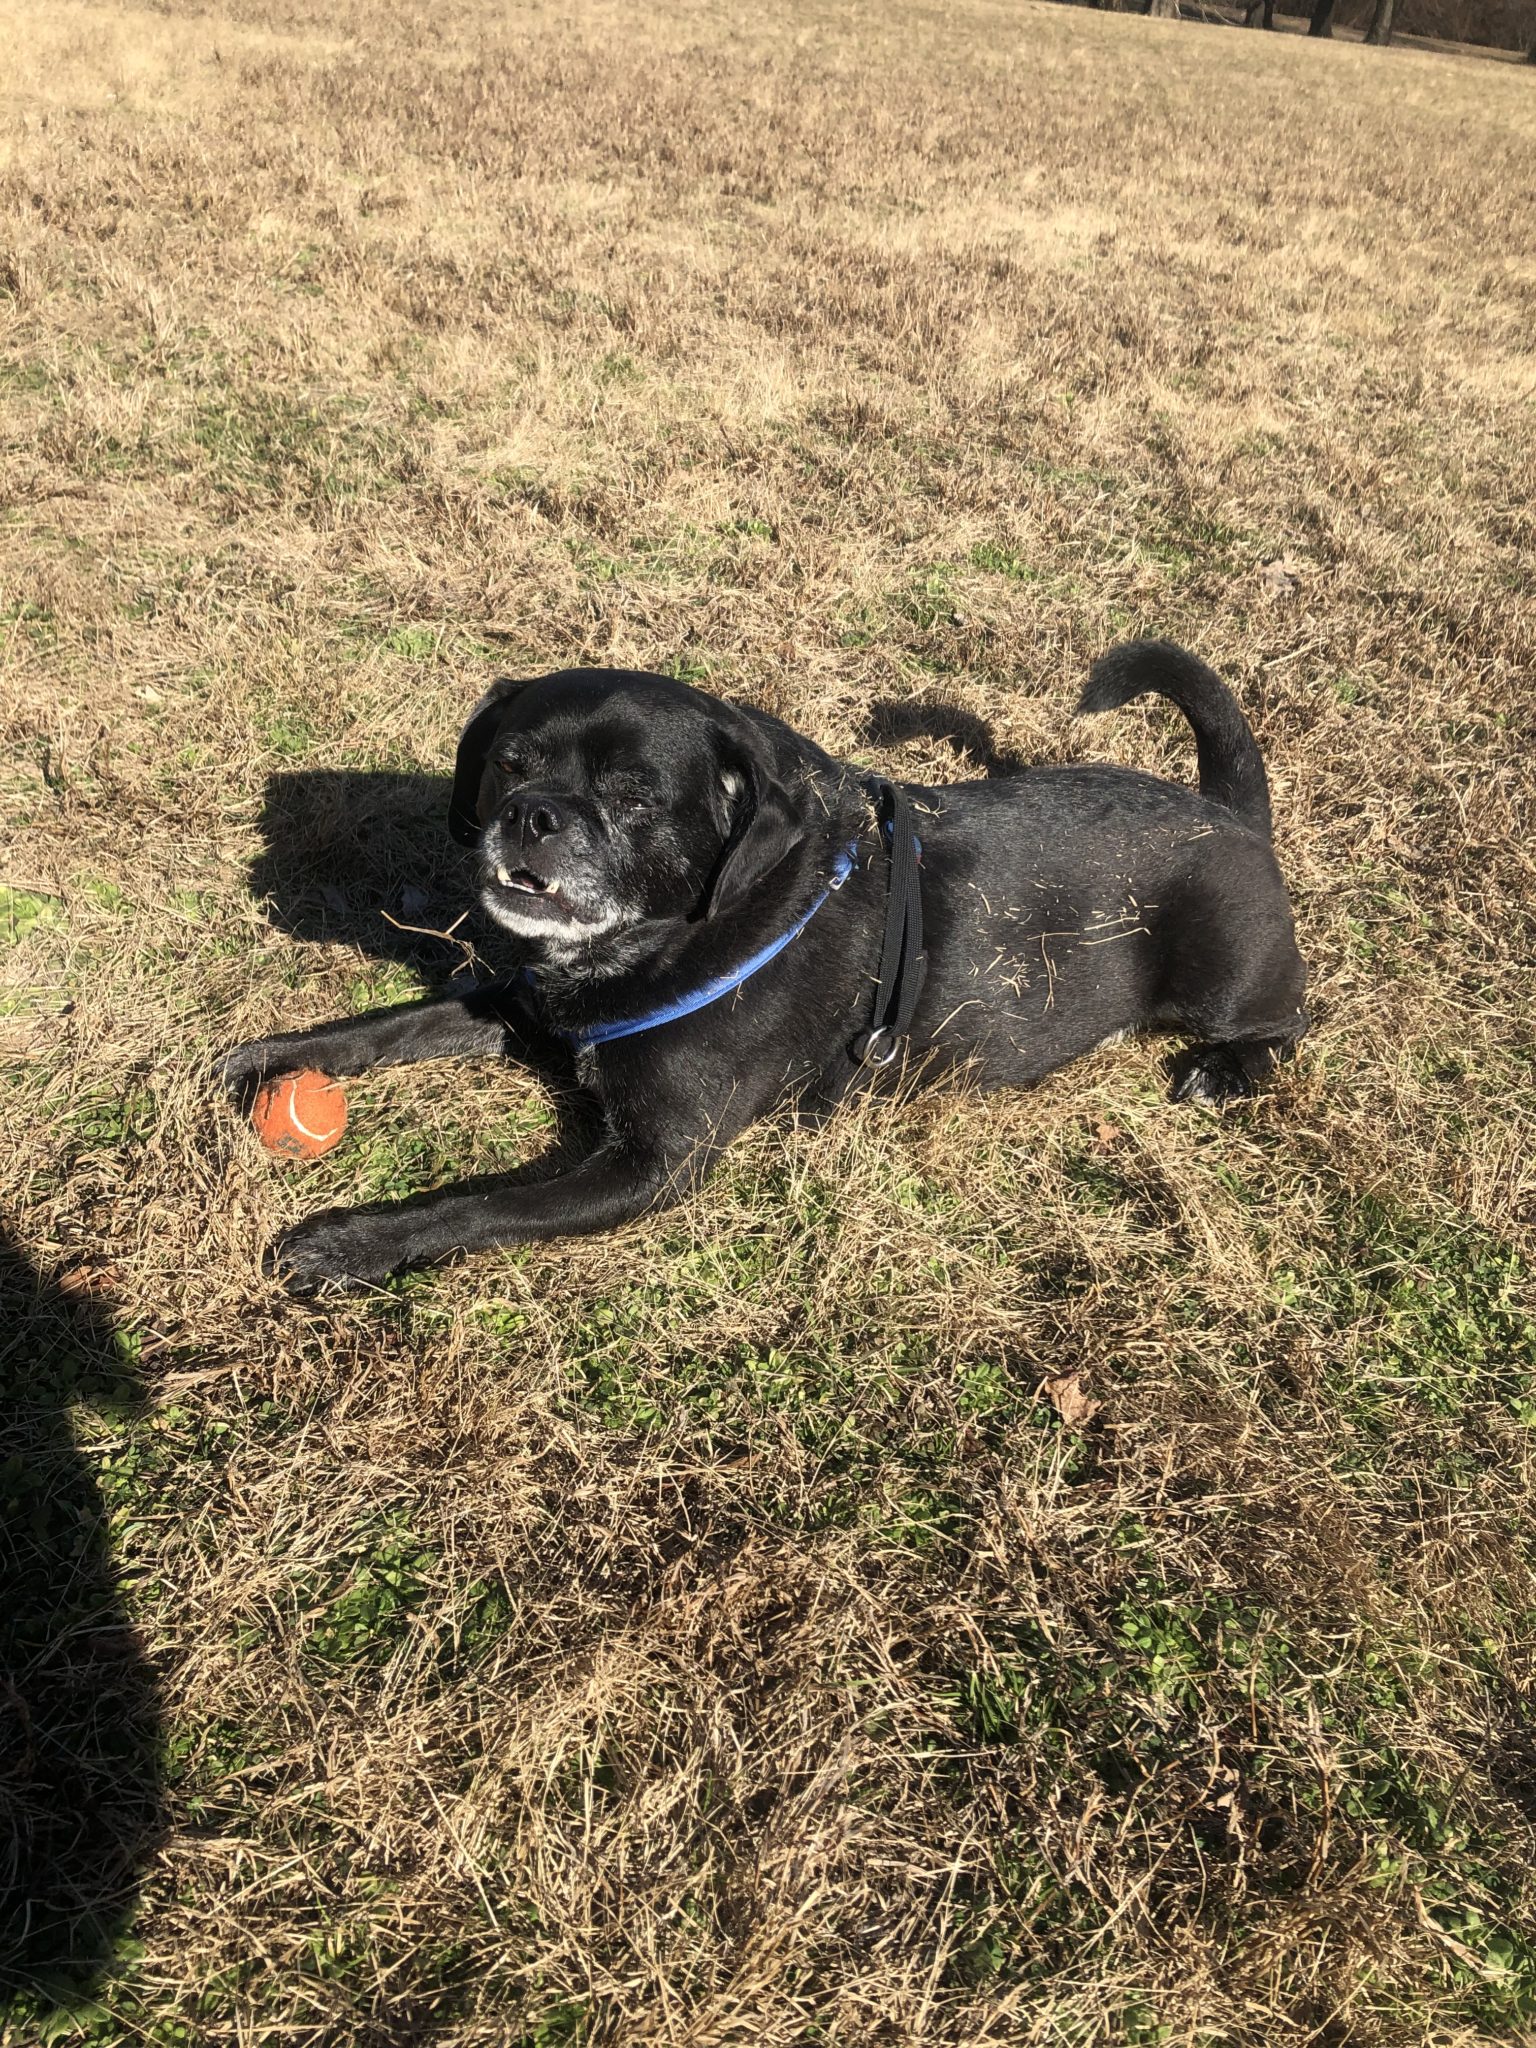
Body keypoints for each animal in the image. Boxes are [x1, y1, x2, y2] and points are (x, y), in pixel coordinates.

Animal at [222, 638, 1310, 1286]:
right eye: (509, 761)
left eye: (635, 796)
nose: (530, 816)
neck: (682, 933)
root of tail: (1225, 811)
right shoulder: (524, 1006)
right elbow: (391, 1025)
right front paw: (270, 1056)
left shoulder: (651, 1164)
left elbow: (480, 1205)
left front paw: (348, 1241)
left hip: (1223, 980)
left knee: (1290, 1024)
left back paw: (1224, 1073)